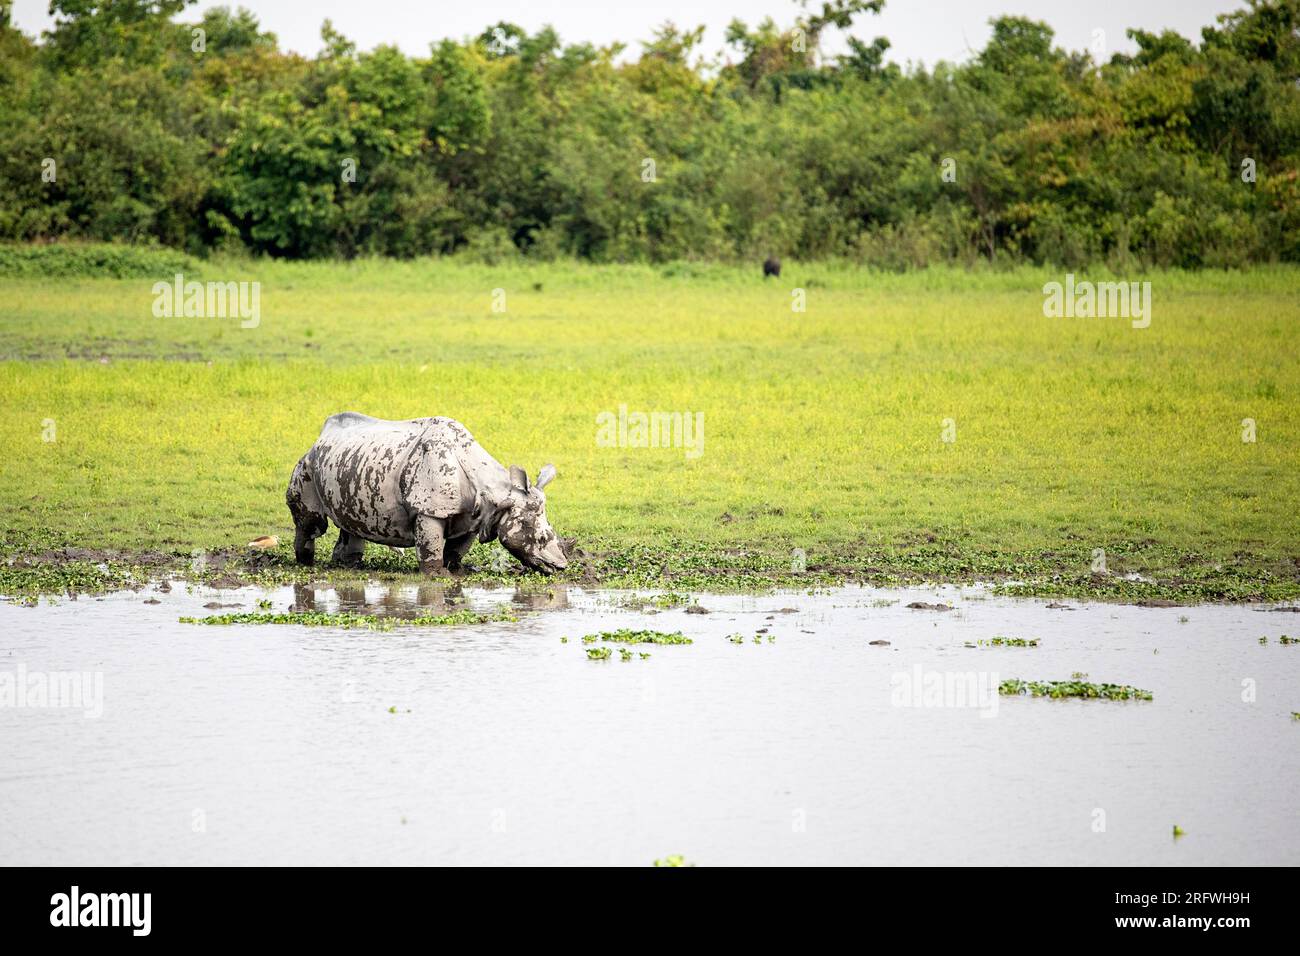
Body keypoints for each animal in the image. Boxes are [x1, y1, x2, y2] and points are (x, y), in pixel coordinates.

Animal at [286, 412, 568, 575]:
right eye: (540, 537)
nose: (560, 566)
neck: (498, 494)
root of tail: (321, 435)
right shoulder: (429, 507)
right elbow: (431, 546)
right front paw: (435, 576)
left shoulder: (474, 516)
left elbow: (456, 549)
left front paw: (454, 572)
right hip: (306, 463)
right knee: (311, 523)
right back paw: (306, 564)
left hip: (347, 461)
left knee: (350, 524)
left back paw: (349, 566)